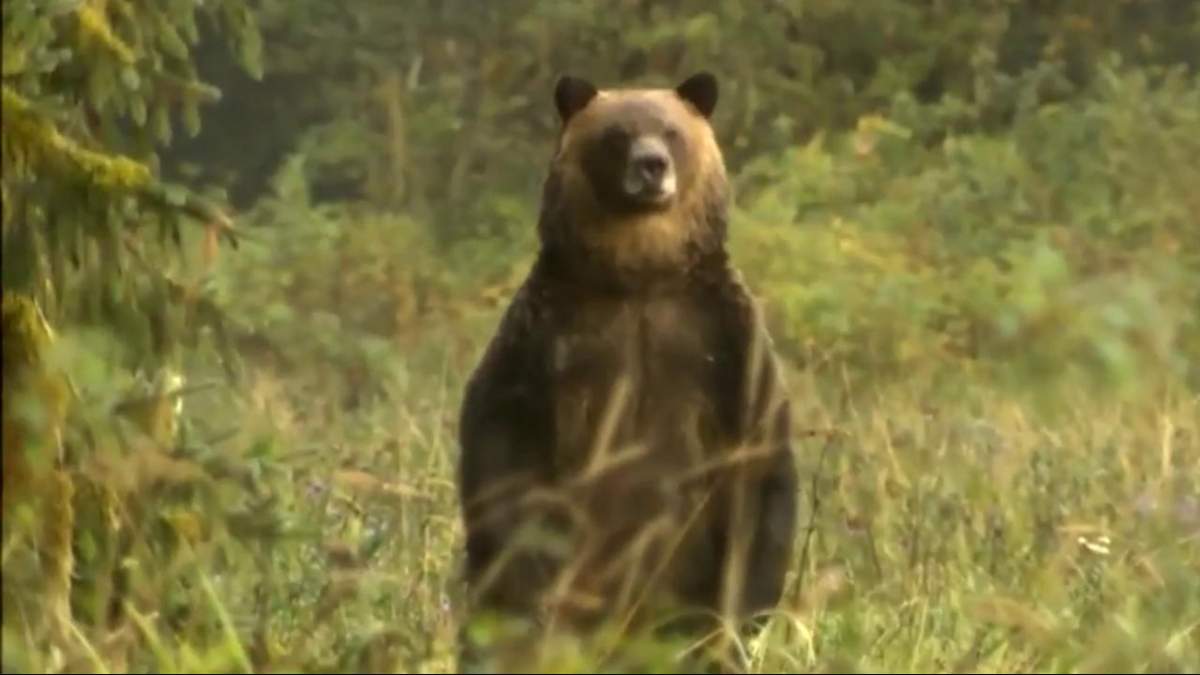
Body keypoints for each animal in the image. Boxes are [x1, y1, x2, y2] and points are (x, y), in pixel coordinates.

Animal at [455, 72, 798, 672]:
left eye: (670, 131)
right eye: (617, 134)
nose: (652, 165)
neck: (640, 276)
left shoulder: (725, 343)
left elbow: (758, 466)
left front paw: (741, 618)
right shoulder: (543, 340)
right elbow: (502, 452)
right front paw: (528, 589)